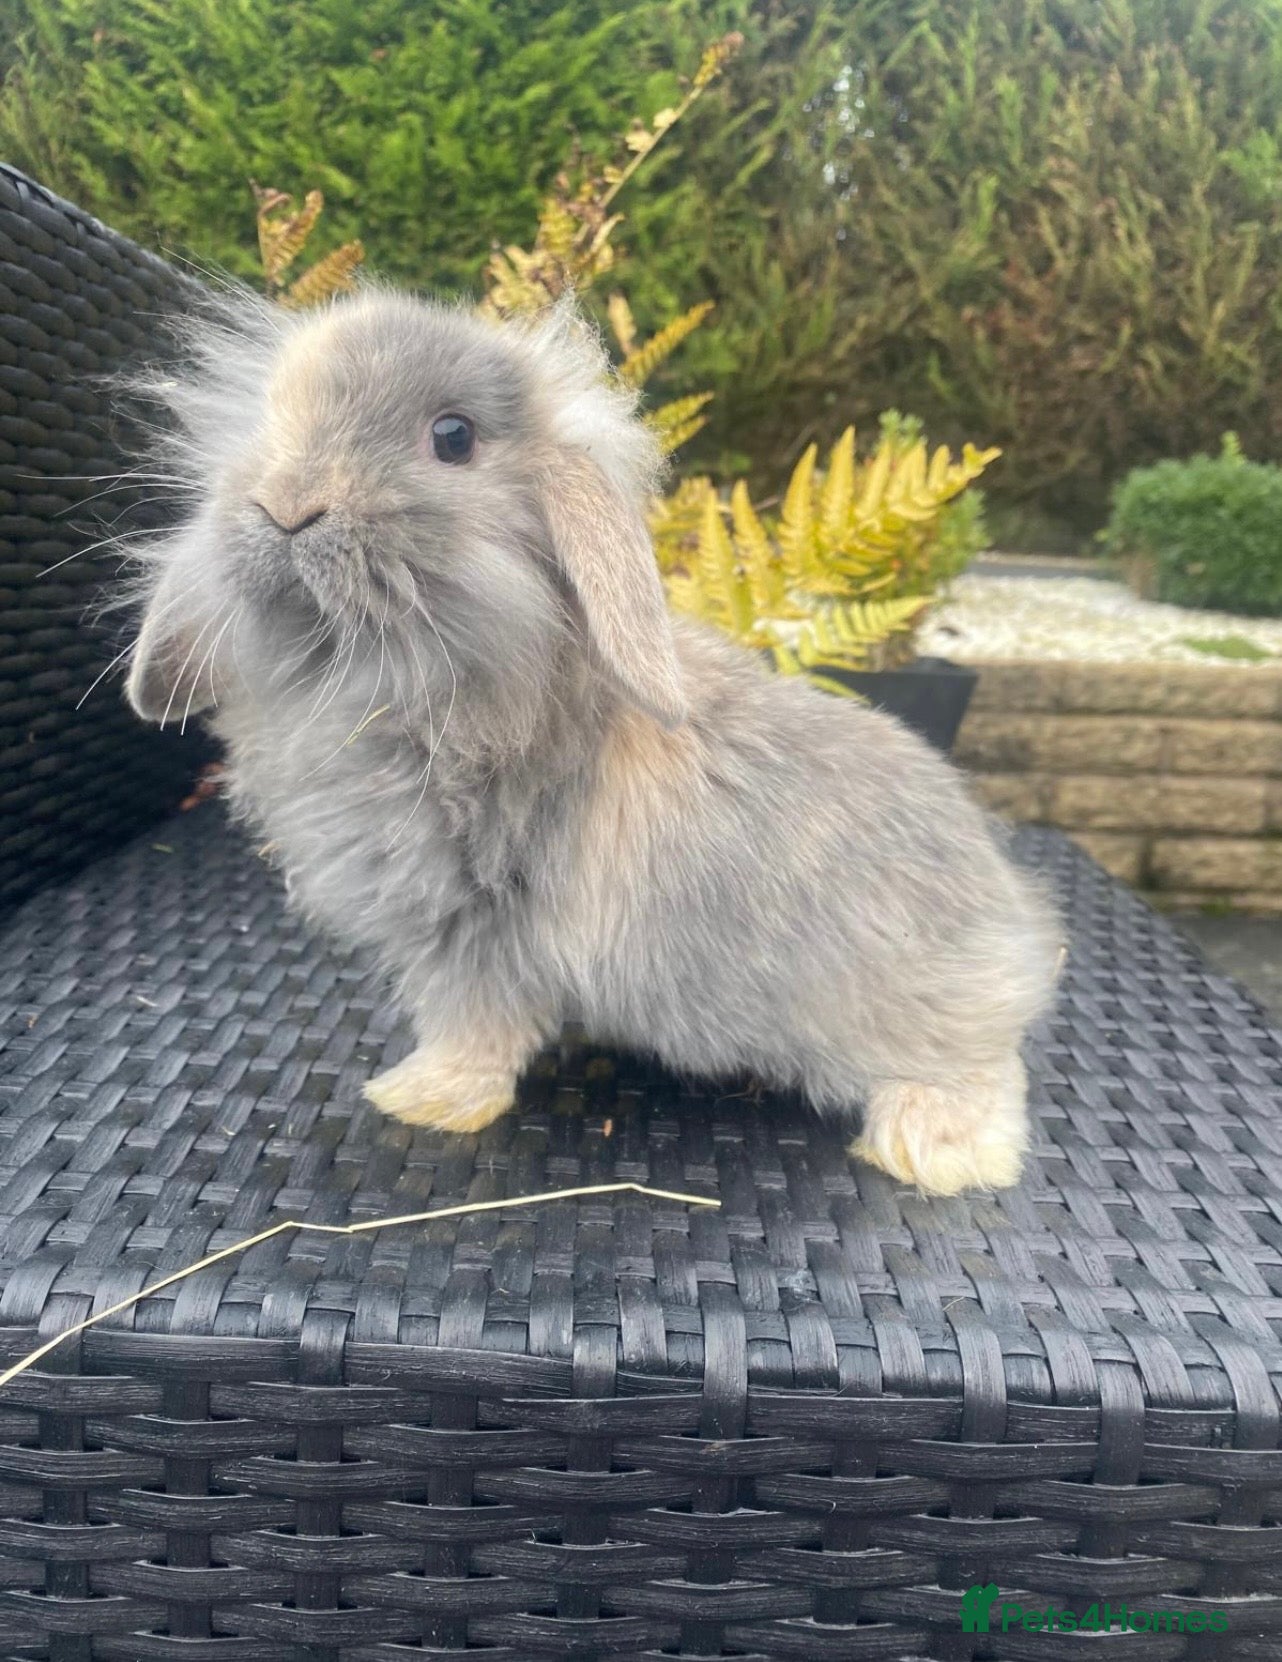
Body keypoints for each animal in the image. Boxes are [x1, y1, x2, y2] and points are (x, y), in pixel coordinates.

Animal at [122, 284, 1062, 1197]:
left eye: (452, 438)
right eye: (272, 414)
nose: (287, 506)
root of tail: (1008, 913)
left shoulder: (474, 934)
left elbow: (471, 1027)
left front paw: (419, 1099)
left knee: (986, 1069)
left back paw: (937, 1152)